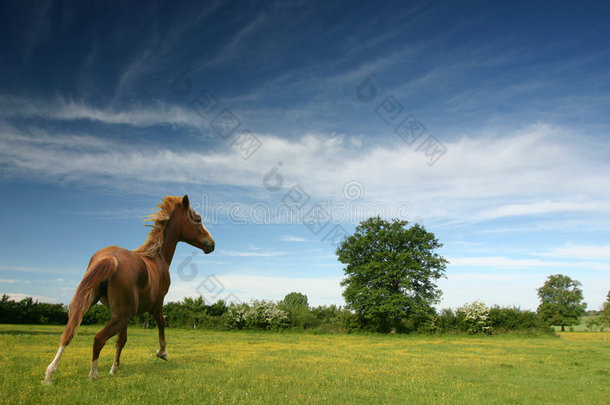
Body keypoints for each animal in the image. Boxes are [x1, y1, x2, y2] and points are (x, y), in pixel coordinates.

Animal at [42, 194, 214, 384]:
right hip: (123, 314)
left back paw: (49, 375)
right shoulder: (156, 305)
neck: (156, 257)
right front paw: (162, 353)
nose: (211, 244)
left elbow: (121, 340)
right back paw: (93, 374)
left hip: (98, 306)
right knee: (98, 338)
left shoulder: (121, 314)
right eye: (198, 219)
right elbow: (161, 323)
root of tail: (110, 258)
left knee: (69, 333)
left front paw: (114, 368)